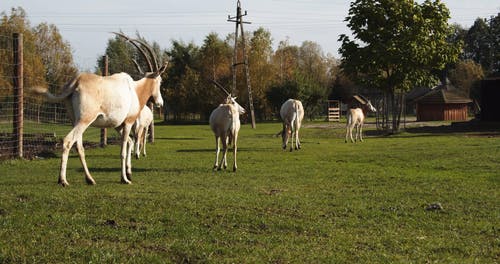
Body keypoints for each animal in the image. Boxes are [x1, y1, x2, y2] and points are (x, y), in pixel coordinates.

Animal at [32, 33, 166, 186]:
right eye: (160, 81)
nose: (160, 103)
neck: (136, 90)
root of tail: (76, 81)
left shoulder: (117, 126)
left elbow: (130, 143)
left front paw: (129, 173)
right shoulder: (128, 123)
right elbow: (123, 150)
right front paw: (125, 179)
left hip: (75, 120)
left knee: (79, 146)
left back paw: (89, 179)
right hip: (84, 120)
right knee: (68, 141)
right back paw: (63, 180)